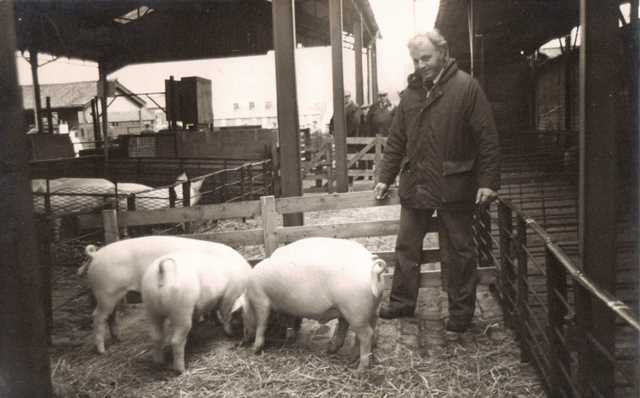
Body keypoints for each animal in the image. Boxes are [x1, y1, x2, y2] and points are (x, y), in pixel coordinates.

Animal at [77, 235, 250, 352]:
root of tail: (95, 255)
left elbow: (213, 309)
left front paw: (214, 321)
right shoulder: (227, 295)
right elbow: (223, 311)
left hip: (114, 294)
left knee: (111, 315)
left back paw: (118, 339)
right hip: (105, 292)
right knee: (97, 317)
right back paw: (102, 351)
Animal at [242, 236, 388, 370]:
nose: (243, 341)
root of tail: (374, 270)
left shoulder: (260, 299)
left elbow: (262, 324)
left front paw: (254, 349)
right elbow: (289, 319)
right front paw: (290, 336)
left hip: (355, 311)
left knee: (366, 334)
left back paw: (359, 370)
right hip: (360, 309)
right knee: (360, 329)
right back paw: (341, 354)